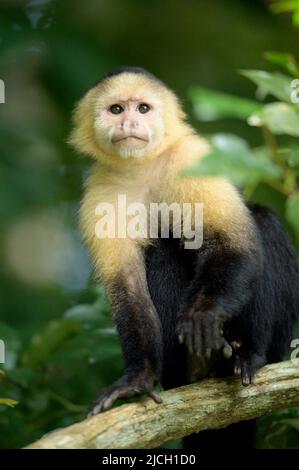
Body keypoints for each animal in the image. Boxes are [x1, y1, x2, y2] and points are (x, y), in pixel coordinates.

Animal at [69, 65, 299, 434]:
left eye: (143, 108)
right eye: (116, 109)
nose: (128, 123)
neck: (144, 167)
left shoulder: (192, 156)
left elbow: (233, 245)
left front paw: (201, 318)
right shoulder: (101, 190)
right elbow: (129, 290)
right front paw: (138, 379)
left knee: (263, 223)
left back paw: (247, 356)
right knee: (162, 251)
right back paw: (195, 369)